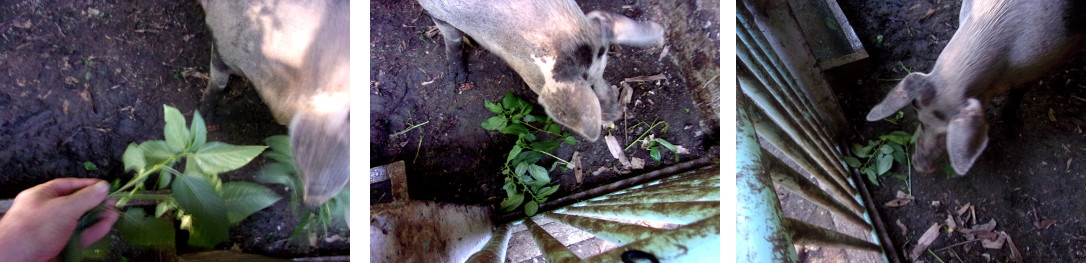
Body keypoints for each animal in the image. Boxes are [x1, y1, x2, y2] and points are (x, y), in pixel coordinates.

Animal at [864, 0, 1086, 177]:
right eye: (920, 121)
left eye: (947, 133)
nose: (918, 165)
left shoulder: (1042, 63)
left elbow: (1018, 92)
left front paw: (1007, 116)